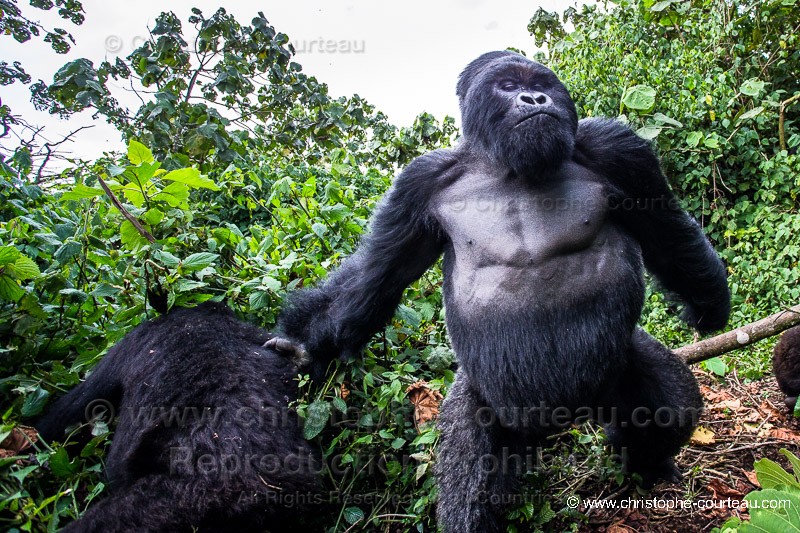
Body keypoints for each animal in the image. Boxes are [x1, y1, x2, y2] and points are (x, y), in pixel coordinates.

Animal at [272, 51, 736, 532]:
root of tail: (571, 417)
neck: (506, 164)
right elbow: (378, 274)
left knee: (672, 407)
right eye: (509, 86)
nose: (534, 99)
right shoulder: (418, 183)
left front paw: (709, 306)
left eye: (541, 85)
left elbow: (664, 229)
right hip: (494, 399)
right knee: (469, 479)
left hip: (616, 367)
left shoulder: (617, 149)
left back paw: (648, 465)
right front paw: (303, 347)